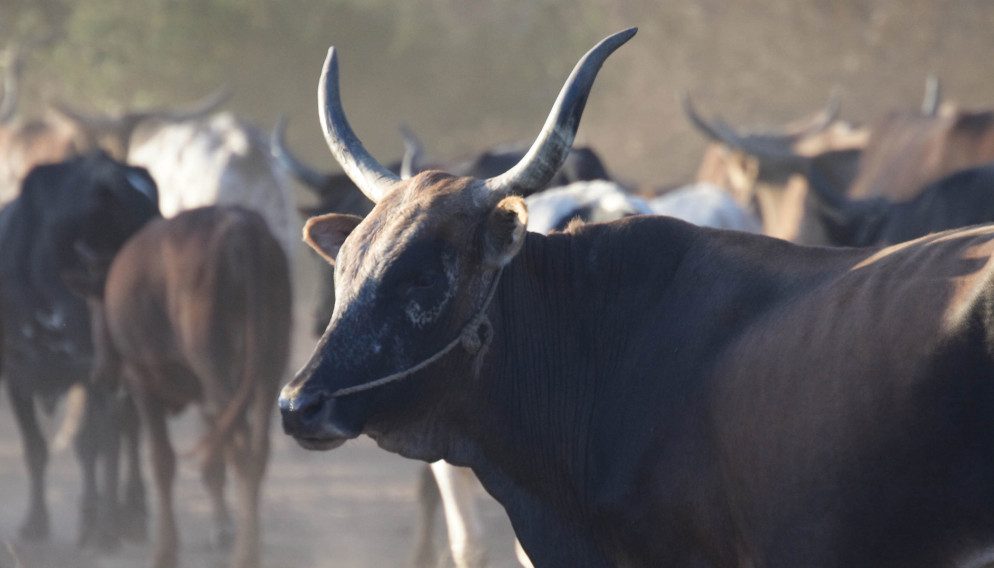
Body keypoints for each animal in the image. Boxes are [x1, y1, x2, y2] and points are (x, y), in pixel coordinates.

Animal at [0, 150, 161, 544]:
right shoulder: (16, 372)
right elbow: (36, 448)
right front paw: (35, 523)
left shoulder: (90, 377)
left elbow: (91, 445)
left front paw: (96, 525)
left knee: (128, 431)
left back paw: (129, 513)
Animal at [79, 206, 288, 568]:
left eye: (95, 302)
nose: (98, 372)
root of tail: (238, 224)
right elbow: (213, 462)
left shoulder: (143, 383)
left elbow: (162, 461)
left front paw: (165, 552)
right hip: (268, 366)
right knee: (256, 449)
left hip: (215, 366)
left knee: (242, 449)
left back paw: (245, 553)